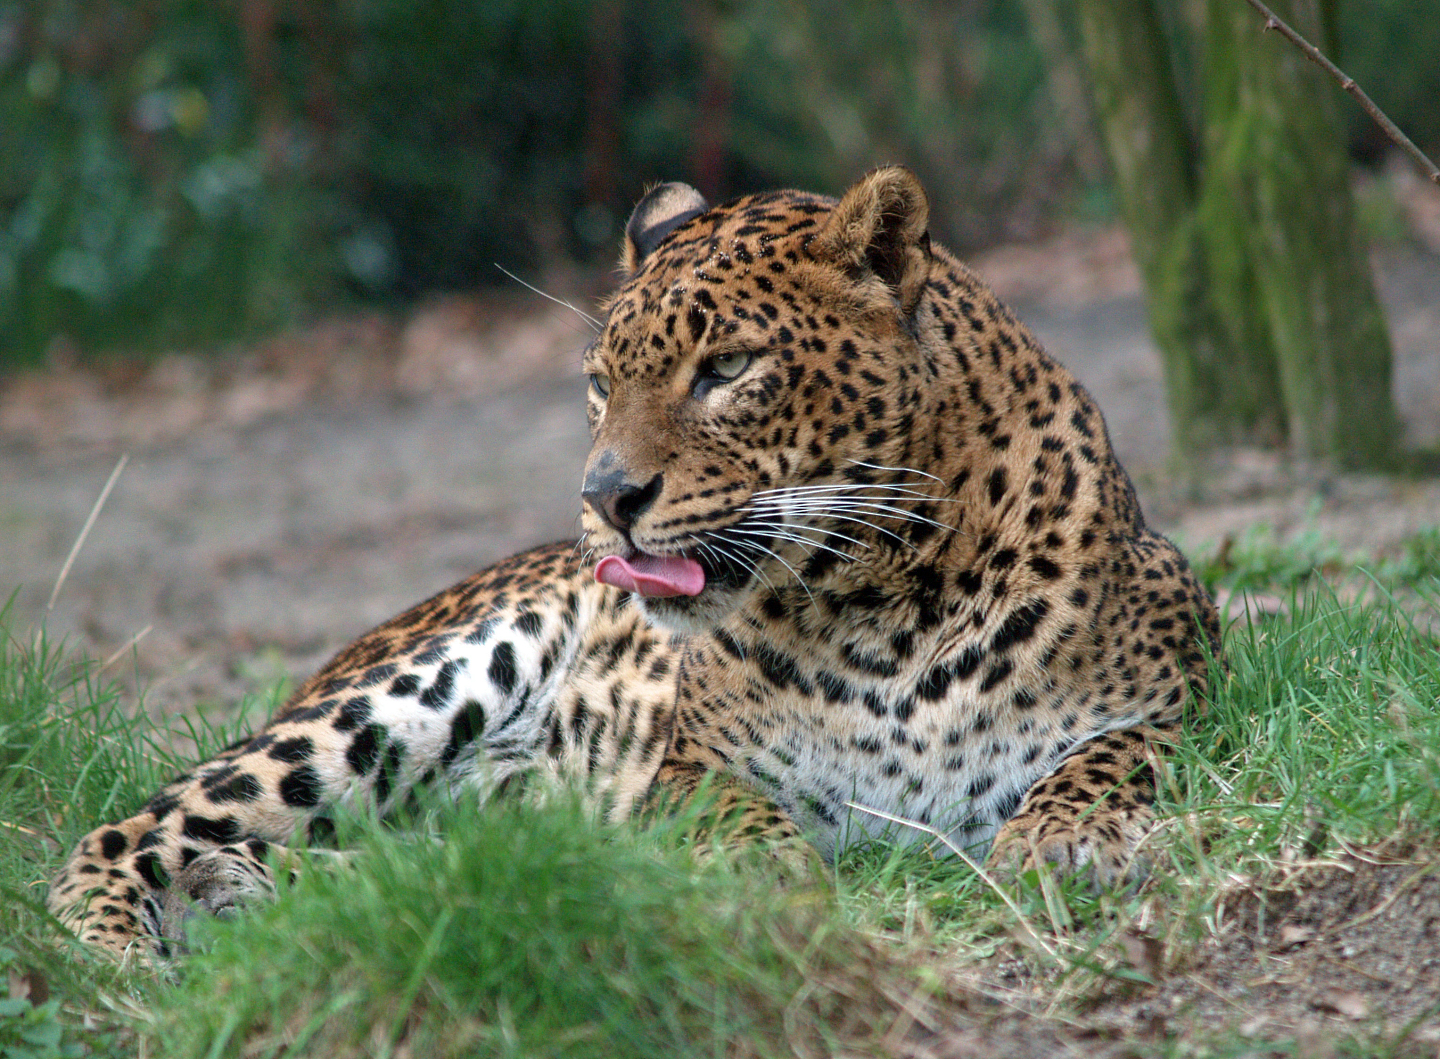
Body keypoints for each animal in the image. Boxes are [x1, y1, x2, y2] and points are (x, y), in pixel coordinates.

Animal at [48, 166, 1220, 960]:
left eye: (730, 367)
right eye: (600, 383)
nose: (605, 500)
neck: (885, 602)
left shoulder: (1179, 688)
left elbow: (1103, 758)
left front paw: (1057, 841)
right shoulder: (688, 765)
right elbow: (730, 810)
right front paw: (763, 877)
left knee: (412, 876)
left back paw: (239, 896)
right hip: (411, 689)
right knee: (127, 828)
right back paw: (128, 943)